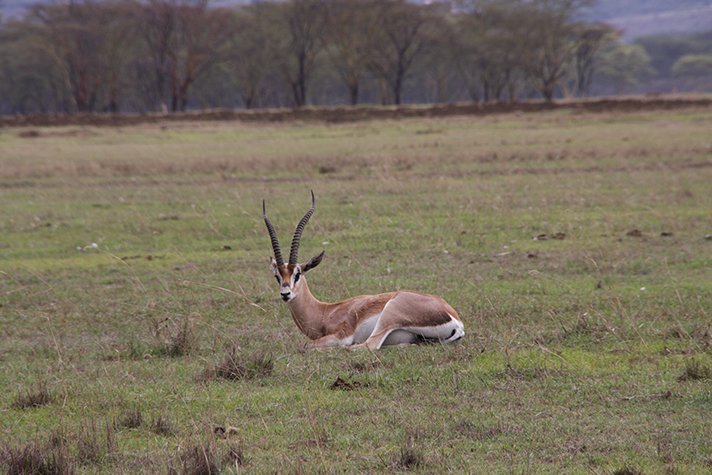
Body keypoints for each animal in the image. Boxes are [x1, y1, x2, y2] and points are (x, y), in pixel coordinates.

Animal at [262, 191, 465, 350]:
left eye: (297, 274)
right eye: (277, 276)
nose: (285, 294)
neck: (325, 312)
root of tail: (454, 318)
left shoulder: (342, 335)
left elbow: (306, 345)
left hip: (389, 314)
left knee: (367, 345)